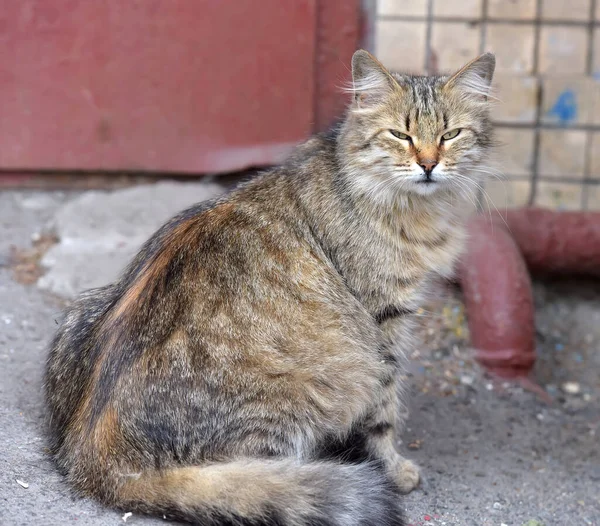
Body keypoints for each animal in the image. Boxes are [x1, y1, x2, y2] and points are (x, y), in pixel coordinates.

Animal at [44, 50, 496, 526]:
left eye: (450, 134)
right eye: (401, 135)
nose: (428, 165)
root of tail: (95, 456)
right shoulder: (382, 327)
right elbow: (383, 414)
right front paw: (393, 469)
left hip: (83, 309)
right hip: (324, 380)